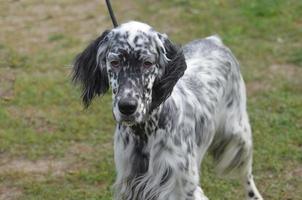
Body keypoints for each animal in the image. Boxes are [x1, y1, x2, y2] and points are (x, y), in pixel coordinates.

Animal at [72, 21, 264, 200]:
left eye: (147, 63)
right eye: (114, 62)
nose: (127, 106)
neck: (145, 133)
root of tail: (213, 41)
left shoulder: (182, 189)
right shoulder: (130, 183)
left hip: (239, 135)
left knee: (247, 176)